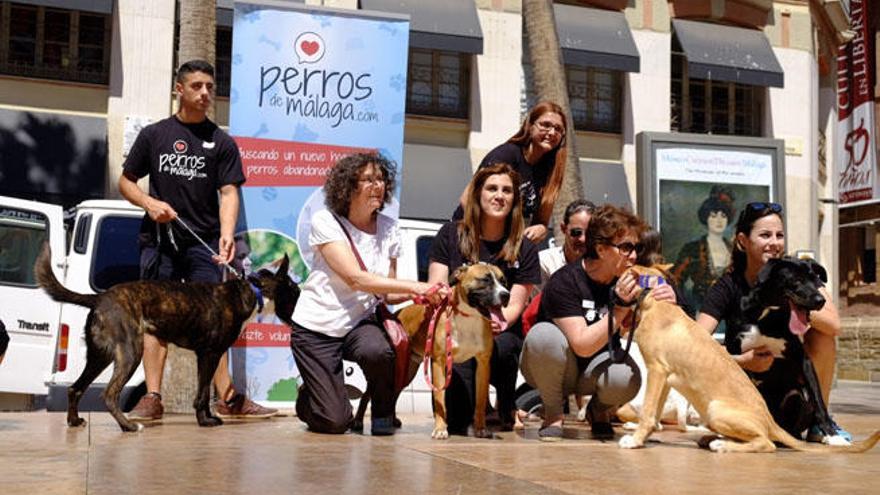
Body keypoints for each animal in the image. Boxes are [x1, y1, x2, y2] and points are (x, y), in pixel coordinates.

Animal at [34, 245, 300, 434]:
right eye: (296, 291)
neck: (253, 291)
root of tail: (99, 298)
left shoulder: (205, 356)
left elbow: (204, 392)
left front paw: (208, 417)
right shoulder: (210, 354)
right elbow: (203, 393)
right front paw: (205, 421)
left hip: (99, 356)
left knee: (75, 388)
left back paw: (74, 421)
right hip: (131, 353)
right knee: (108, 394)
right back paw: (128, 426)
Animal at [352, 266, 508, 440]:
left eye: (504, 281)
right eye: (485, 280)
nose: (506, 295)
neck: (468, 316)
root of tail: (395, 315)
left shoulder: (483, 364)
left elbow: (480, 400)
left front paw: (480, 429)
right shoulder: (439, 362)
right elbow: (440, 398)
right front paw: (440, 429)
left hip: (406, 371)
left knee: (394, 393)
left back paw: (392, 420)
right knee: (368, 394)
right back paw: (358, 420)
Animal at [620, 266, 880, 456]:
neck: (656, 301)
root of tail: (771, 421)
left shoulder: (656, 370)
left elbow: (648, 412)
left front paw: (634, 440)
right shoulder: (665, 377)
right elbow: (654, 413)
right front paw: (643, 438)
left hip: (715, 410)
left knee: (766, 443)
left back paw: (722, 445)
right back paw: (714, 439)